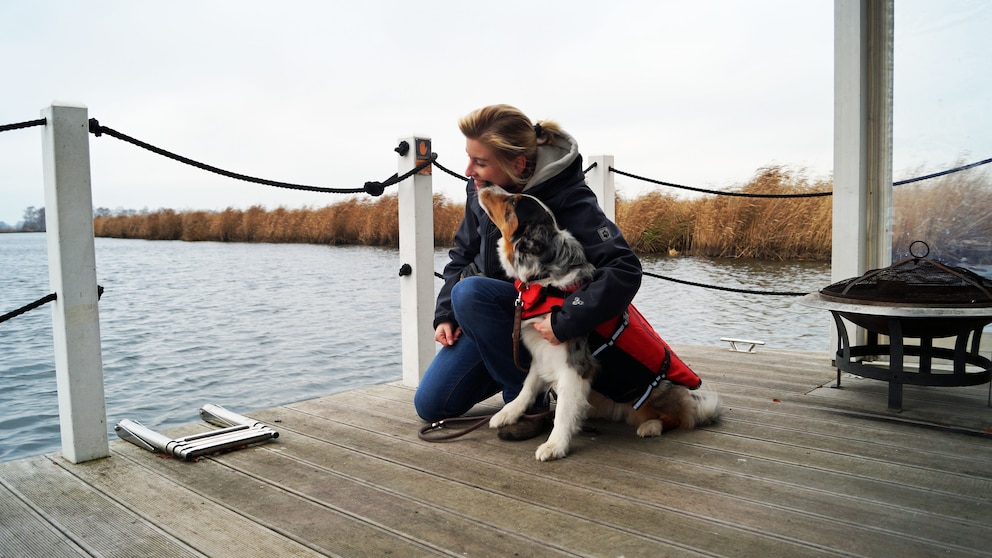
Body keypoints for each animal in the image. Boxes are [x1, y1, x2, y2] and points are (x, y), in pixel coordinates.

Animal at [476, 186, 716, 462]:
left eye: (513, 202)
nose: (483, 186)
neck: (546, 282)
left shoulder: (575, 363)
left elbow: (562, 411)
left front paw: (555, 445)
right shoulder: (542, 352)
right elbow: (527, 387)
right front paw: (507, 413)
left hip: (656, 391)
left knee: (679, 417)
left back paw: (652, 426)